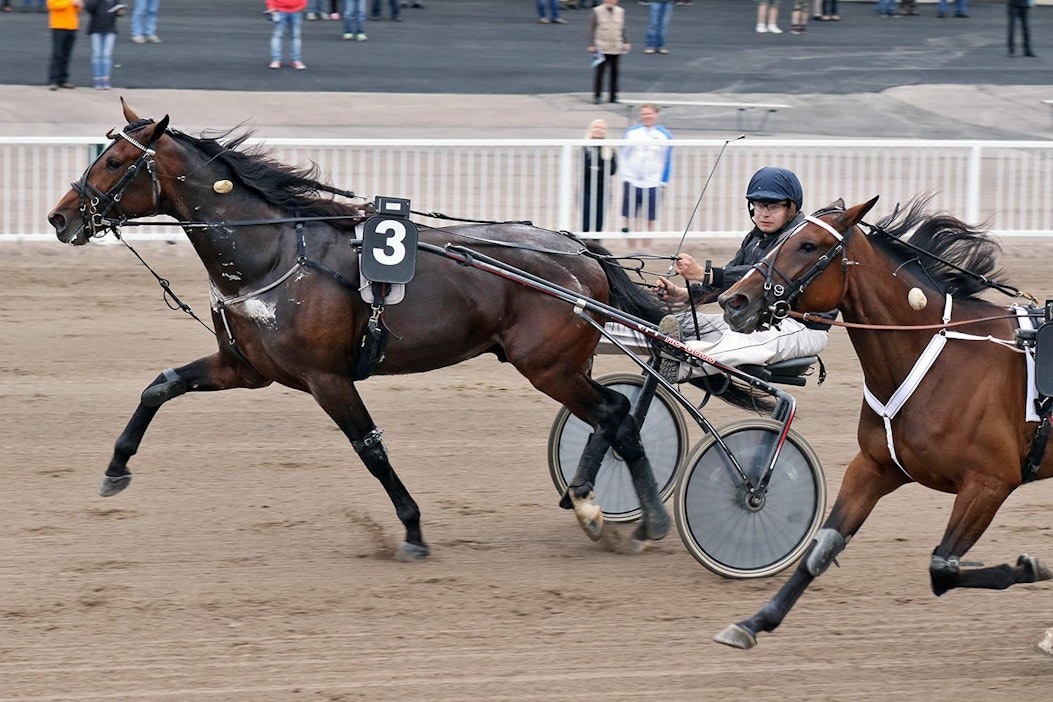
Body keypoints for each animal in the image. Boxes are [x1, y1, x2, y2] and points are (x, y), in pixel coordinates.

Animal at [47, 101, 673, 559]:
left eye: (114, 161)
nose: (60, 217)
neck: (271, 253)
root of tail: (580, 252)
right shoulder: (244, 368)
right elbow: (160, 386)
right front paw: (115, 469)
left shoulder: (326, 377)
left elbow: (370, 448)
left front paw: (413, 531)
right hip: (563, 365)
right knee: (614, 417)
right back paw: (599, 507)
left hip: (547, 365)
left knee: (615, 412)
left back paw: (636, 516)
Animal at [711, 196, 1048, 648]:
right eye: (781, 238)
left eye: (808, 244)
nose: (734, 301)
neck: (935, 353)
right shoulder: (874, 466)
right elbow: (822, 547)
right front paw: (753, 623)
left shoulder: (990, 483)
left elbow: (942, 568)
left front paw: (1032, 566)